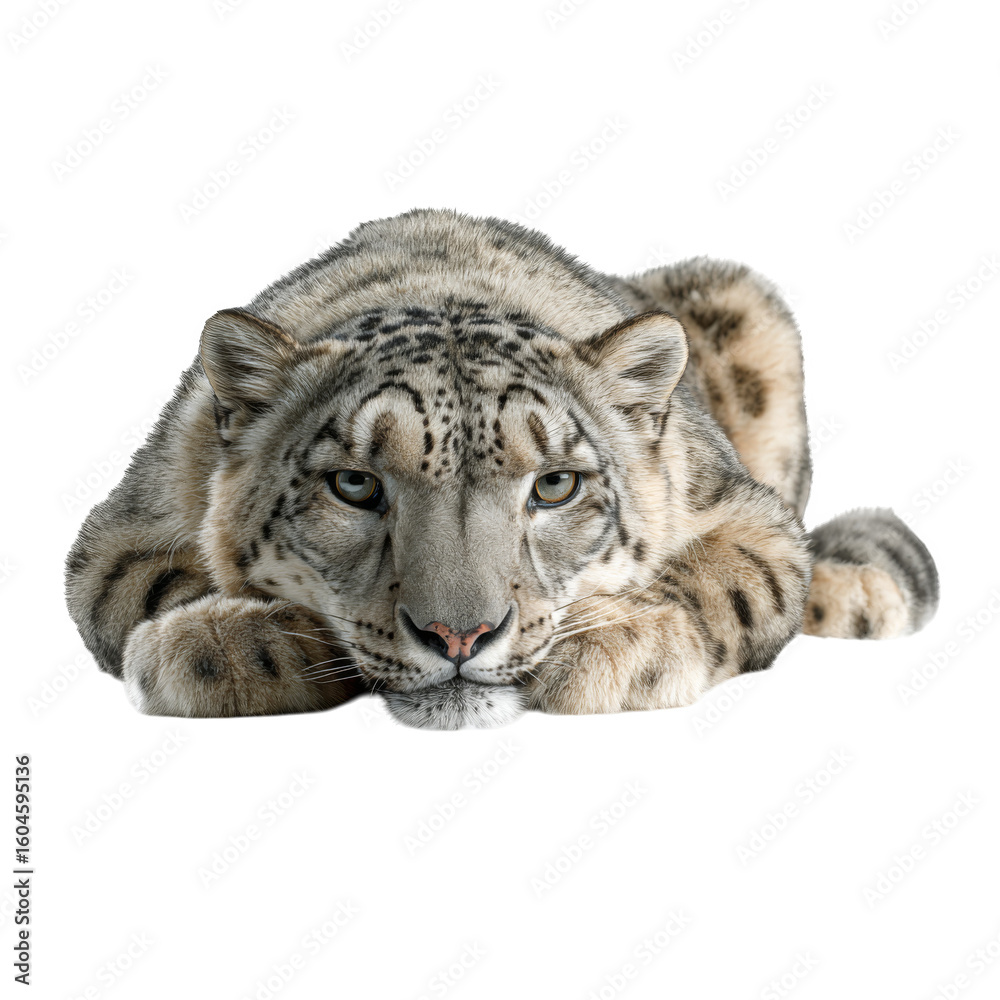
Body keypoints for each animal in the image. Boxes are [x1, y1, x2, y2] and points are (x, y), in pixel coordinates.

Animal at [65, 208, 939, 729]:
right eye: (355, 484)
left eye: (555, 484)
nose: (460, 635)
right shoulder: (121, 532)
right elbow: (149, 583)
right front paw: (232, 645)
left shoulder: (747, 513)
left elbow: (732, 578)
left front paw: (620, 647)